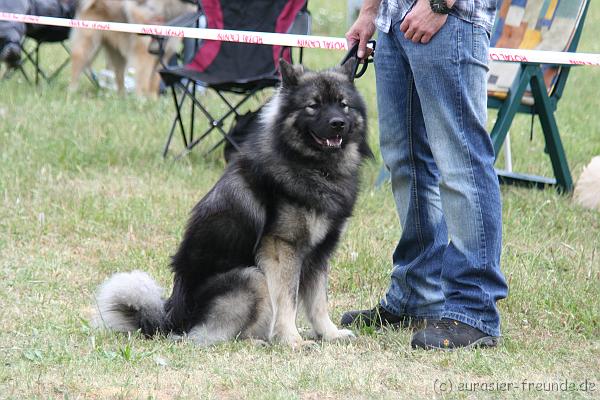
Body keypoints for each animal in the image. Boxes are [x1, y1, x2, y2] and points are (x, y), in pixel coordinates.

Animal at [91, 58, 372, 346]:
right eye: (313, 105)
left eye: (343, 104)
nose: (338, 123)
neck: (313, 166)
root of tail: (169, 321)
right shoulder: (283, 248)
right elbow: (287, 301)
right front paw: (292, 340)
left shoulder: (319, 254)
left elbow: (318, 302)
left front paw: (330, 334)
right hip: (253, 277)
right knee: (214, 336)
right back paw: (258, 341)